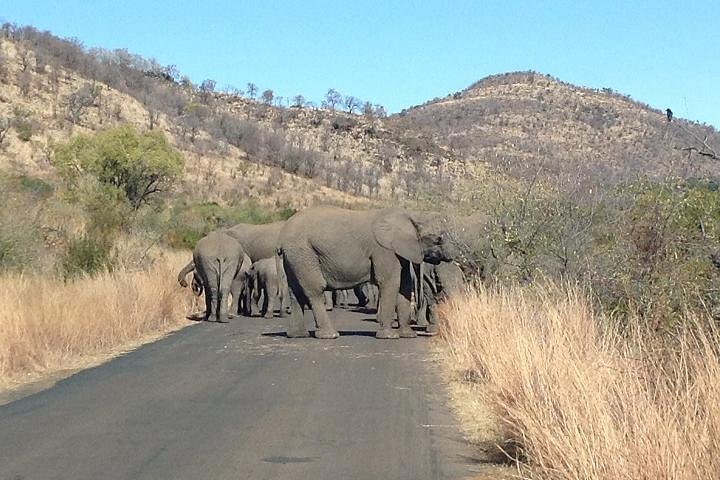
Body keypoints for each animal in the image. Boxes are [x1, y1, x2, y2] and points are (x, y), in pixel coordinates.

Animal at [276, 205, 456, 338]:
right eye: (438, 239)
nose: (450, 257)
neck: (411, 215)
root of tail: (281, 237)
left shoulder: (399, 251)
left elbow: (404, 285)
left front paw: (408, 335)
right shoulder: (384, 250)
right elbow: (390, 282)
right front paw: (389, 336)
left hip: (294, 256)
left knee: (295, 292)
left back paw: (298, 335)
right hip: (303, 252)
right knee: (314, 289)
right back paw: (330, 335)